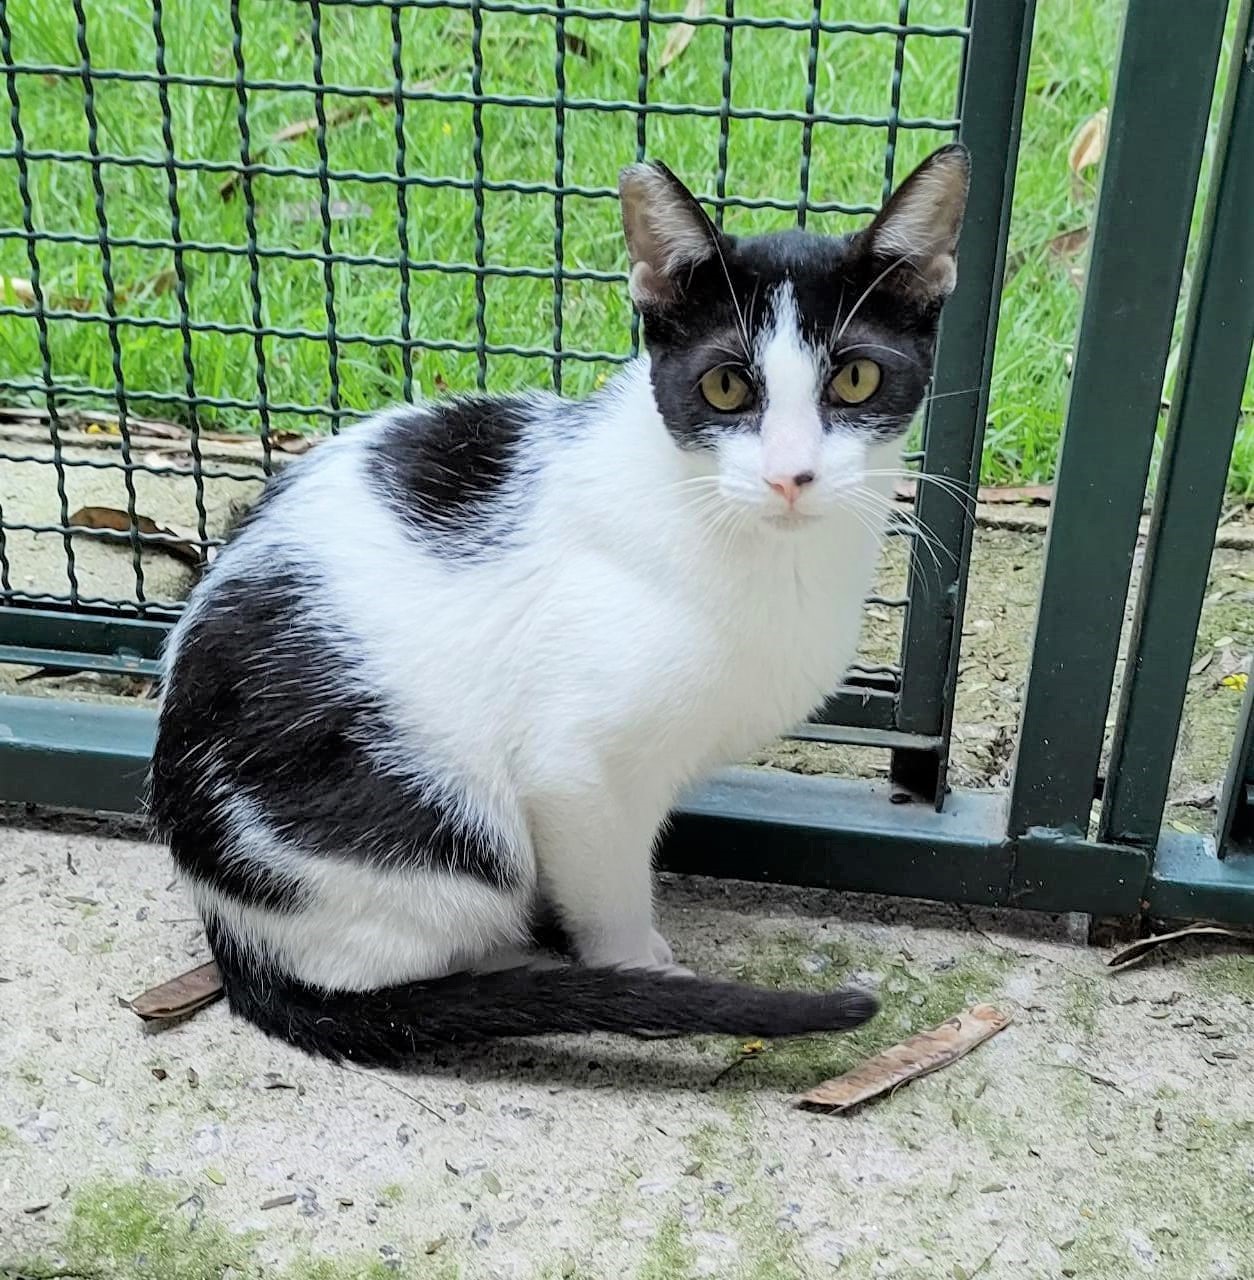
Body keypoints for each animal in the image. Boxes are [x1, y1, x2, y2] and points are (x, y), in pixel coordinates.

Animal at [147, 140, 967, 1064]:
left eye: (856, 378)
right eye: (727, 389)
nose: (791, 475)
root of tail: (231, 935)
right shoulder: (575, 771)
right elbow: (606, 884)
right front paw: (635, 968)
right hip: (446, 840)